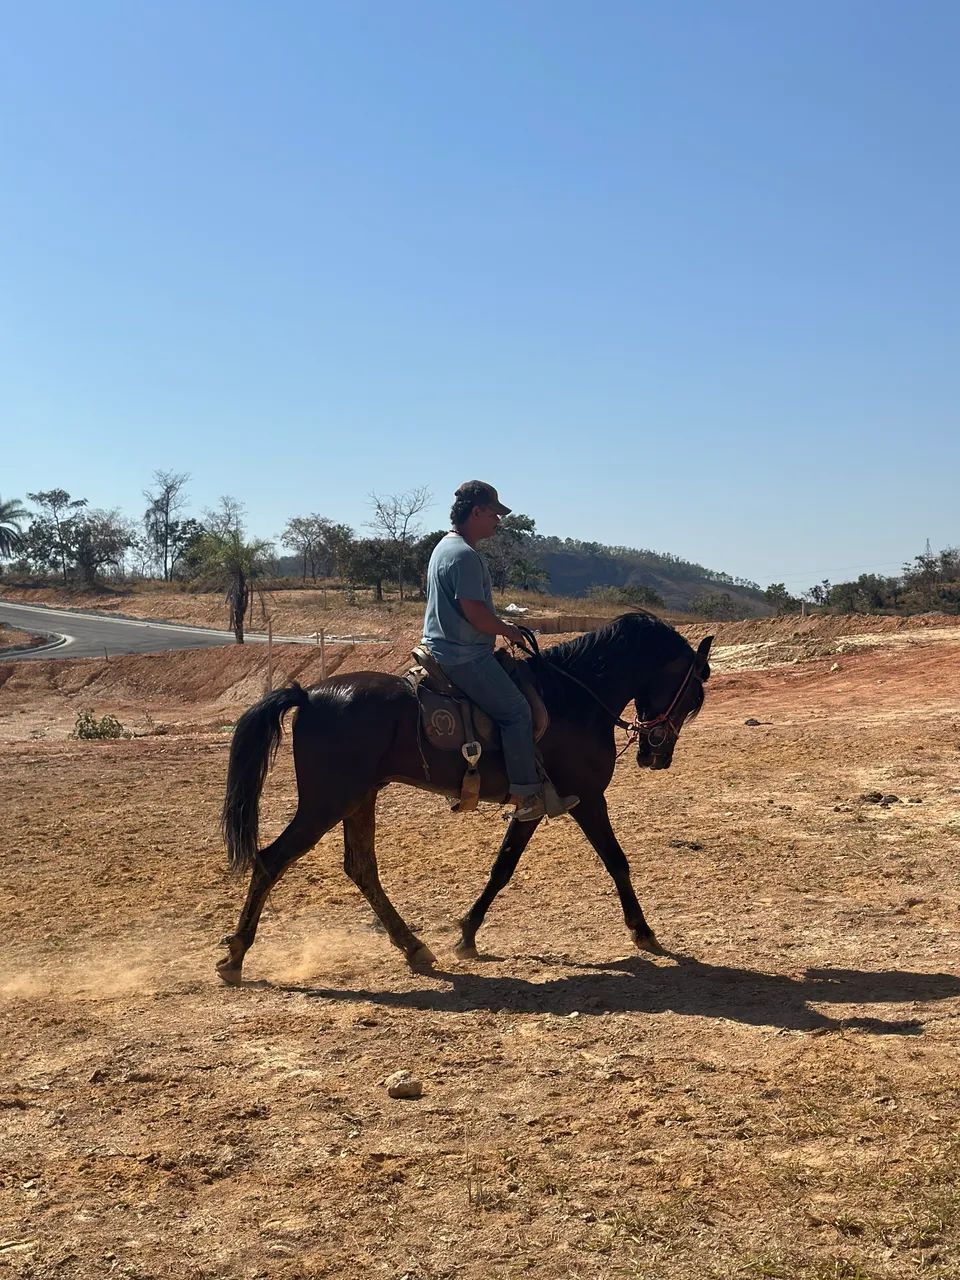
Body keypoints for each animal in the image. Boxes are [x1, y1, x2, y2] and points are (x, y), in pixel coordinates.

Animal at [217, 611, 712, 984]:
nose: (657, 755)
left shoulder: (536, 804)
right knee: (271, 860)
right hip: (326, 803)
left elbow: (502, 867)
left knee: (361, 868)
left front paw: (467, 935)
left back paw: (413, 947)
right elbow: (616, 861)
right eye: (691, 694)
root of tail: (308, 693)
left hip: (358, 799)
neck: (574, 697)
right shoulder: (587, 798)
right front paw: (643, 932)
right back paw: (236, 955)